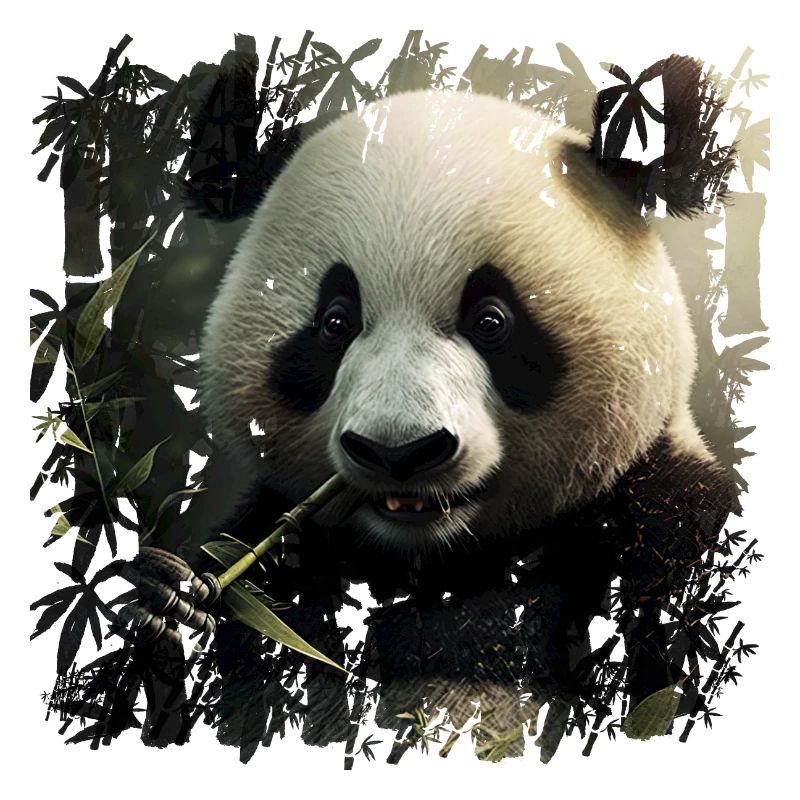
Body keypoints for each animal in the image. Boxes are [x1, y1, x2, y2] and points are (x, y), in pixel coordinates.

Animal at [145, 89, 738, 754]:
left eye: (492, 320)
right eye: (334, 322)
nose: (398, 452)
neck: (439, 561)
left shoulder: (657, 532)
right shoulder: (285, 558)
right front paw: (171, 600)